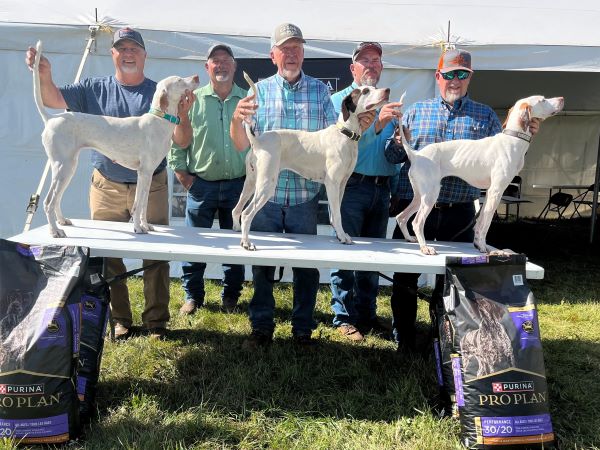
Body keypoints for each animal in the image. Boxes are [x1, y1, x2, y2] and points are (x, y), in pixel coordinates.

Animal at [32, 41, 199, 237]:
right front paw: (138, 228)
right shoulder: (144, 172)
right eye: (179, 80)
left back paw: (62, 221)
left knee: (56, 200)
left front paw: (146, 225)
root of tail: (51, 118)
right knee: (48, 201)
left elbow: (143, 205)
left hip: (68, 168)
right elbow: (138, 205)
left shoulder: (148, 173)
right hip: (63, 167)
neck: (159, 120)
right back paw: (55, 231)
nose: (196, 76)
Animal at [232, 72, 392, 251]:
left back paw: (238, 232)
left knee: (236, 210)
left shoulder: (341, 185)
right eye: (365, 91)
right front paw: (343, 237)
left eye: (374, 87)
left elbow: (335, 214)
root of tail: (257, 140)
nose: (387, 90)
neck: (345, 134)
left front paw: (340, 235)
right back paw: (247, 243)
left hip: (251, 183)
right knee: (246, 214)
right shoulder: (332, 184)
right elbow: (337, 215)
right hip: (266, 185)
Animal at [398, 94, 564, 256]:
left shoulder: (489, 193)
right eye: (542, 100)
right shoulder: (496, 192)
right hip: (430, 196)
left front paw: (481, 245)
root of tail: (416, 154)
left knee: (401, 217)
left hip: (420, 196)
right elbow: (486, 225)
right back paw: (425, 248)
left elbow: (479, 224)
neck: (512, 139)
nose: (562, 99)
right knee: (417, 222)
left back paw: (410, 239)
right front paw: (484, 247)